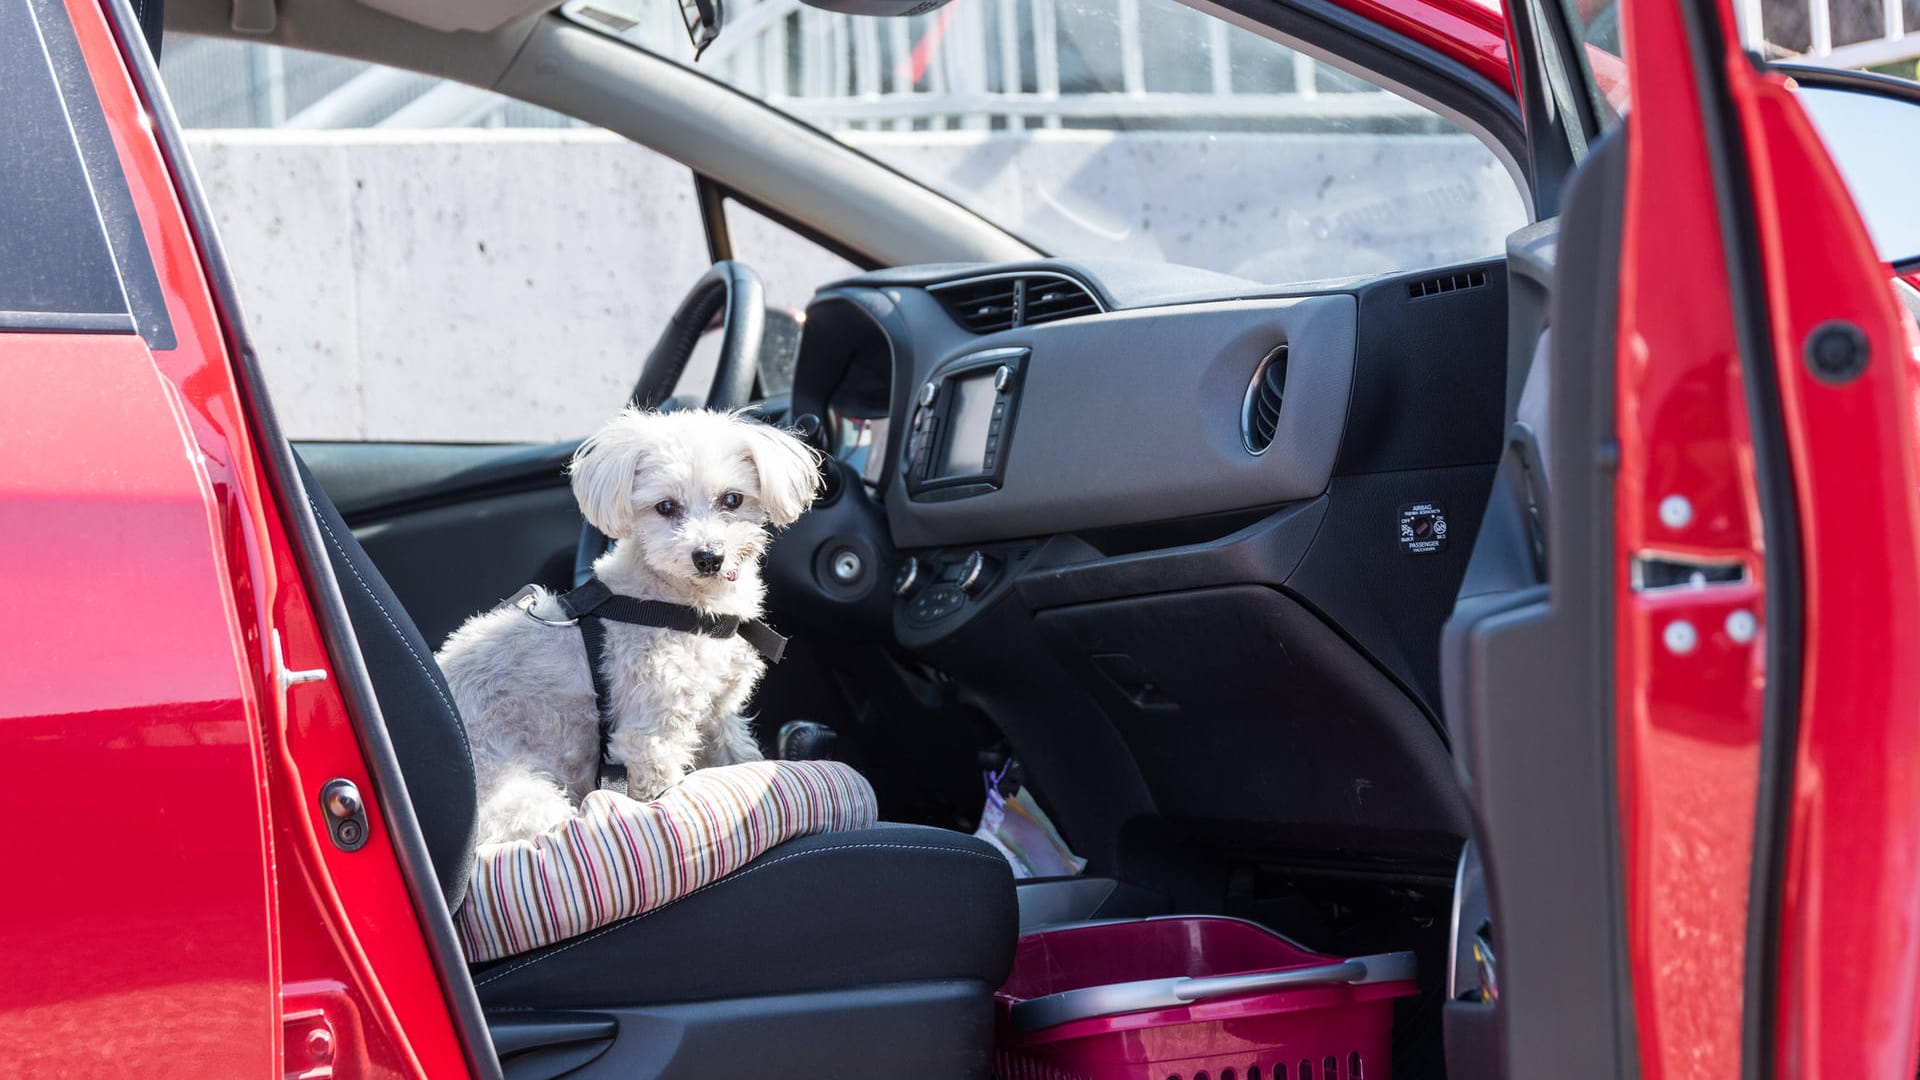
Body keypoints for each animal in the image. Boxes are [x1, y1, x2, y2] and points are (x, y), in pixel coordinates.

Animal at [435, 407, 817, 845]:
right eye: (665, 506)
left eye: (732, 499)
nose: (708, 557)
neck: (676, 606)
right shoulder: (648, 739)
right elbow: (660, 786)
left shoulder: (717, 714)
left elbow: (740, 756)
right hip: (525, 803)